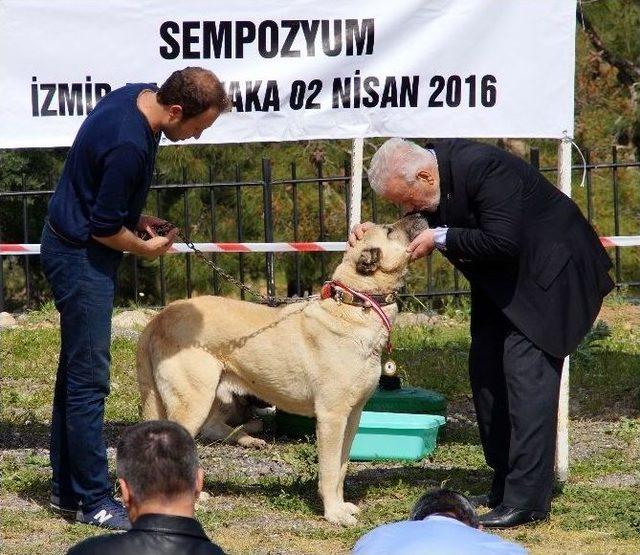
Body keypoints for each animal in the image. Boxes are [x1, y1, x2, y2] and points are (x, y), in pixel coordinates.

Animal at [136, 217, 424, 524]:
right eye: (390, 230)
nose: (419, 215)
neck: (357, 304)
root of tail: (160, 317)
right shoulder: (332, 418)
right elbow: (330, 470)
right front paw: (333, 514)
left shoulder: (353, 416)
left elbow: (342, 468)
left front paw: (341, 506)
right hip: (193, 403)